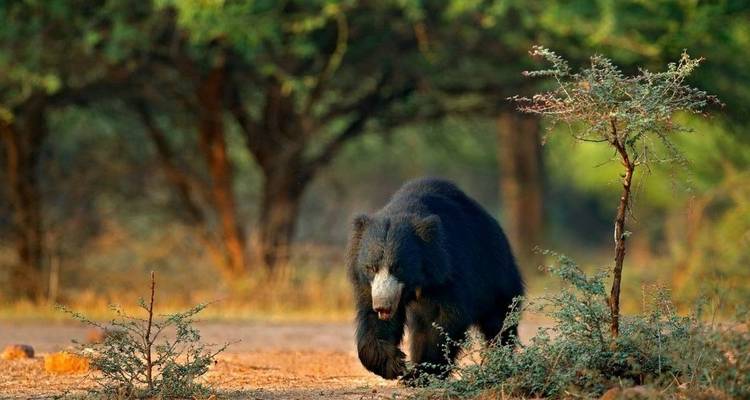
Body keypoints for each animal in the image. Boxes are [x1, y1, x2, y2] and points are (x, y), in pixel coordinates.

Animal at [346, 178, 524, 382]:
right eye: (371, 268)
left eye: (397, 268)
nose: (383, 306)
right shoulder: (369, 286)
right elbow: (372, 320)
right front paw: (394, 364)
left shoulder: (448, 272)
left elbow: (443, 320)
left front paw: (420, 374)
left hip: (496, 274)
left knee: (499, 320)